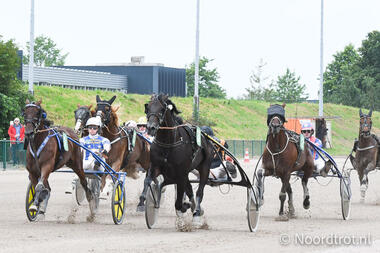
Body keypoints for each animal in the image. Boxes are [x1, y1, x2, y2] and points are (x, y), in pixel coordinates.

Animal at [144, 94, 214, 228]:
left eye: (162, 109)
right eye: (148, 108)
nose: (151, 128)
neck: (168, 143)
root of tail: (205, 137)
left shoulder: (181, 174)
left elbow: (178, 202)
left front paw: (184, 209)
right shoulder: (155, 167)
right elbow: (149, 181)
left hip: (204, 167)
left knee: (199, 192)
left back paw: (196, 214)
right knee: (190, 190)